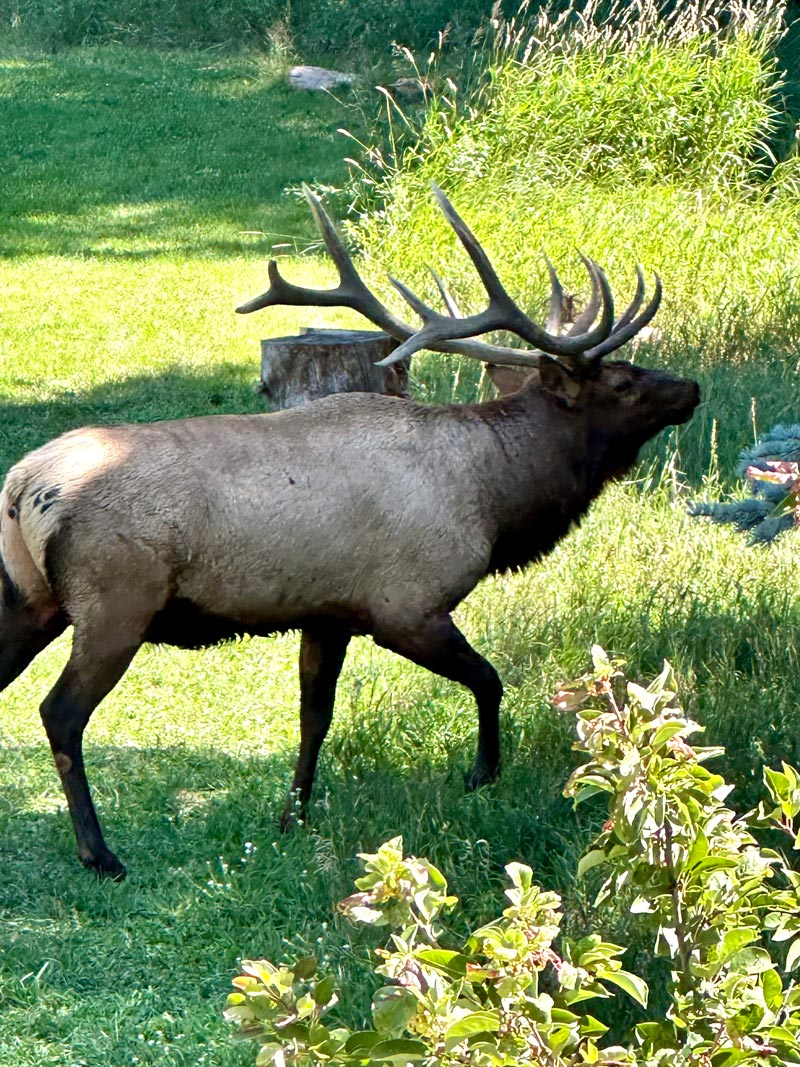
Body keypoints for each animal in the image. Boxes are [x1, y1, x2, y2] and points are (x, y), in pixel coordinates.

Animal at [0, 186, 699, 878]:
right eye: (623, 381)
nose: (690, 387)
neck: (495, 500)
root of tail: (22, 485)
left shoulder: (327, 612)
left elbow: (315, 717)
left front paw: (294, 817)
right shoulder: (405, 605)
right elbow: (489, 679)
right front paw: (481, 773)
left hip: (32, 600)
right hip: (115, 605)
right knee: (60, 714)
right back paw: (99, 853)